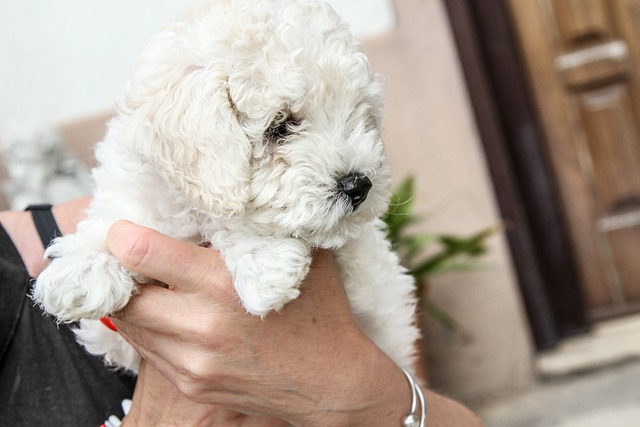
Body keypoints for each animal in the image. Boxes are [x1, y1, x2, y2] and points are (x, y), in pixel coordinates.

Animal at [33, 0, 420, 374]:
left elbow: (232, 222)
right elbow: (122, 217)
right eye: (280, 126)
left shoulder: (370, 278)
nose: (359, 185)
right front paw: (81, 272)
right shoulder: (115, 340)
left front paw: (264, 263)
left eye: (359, 117)